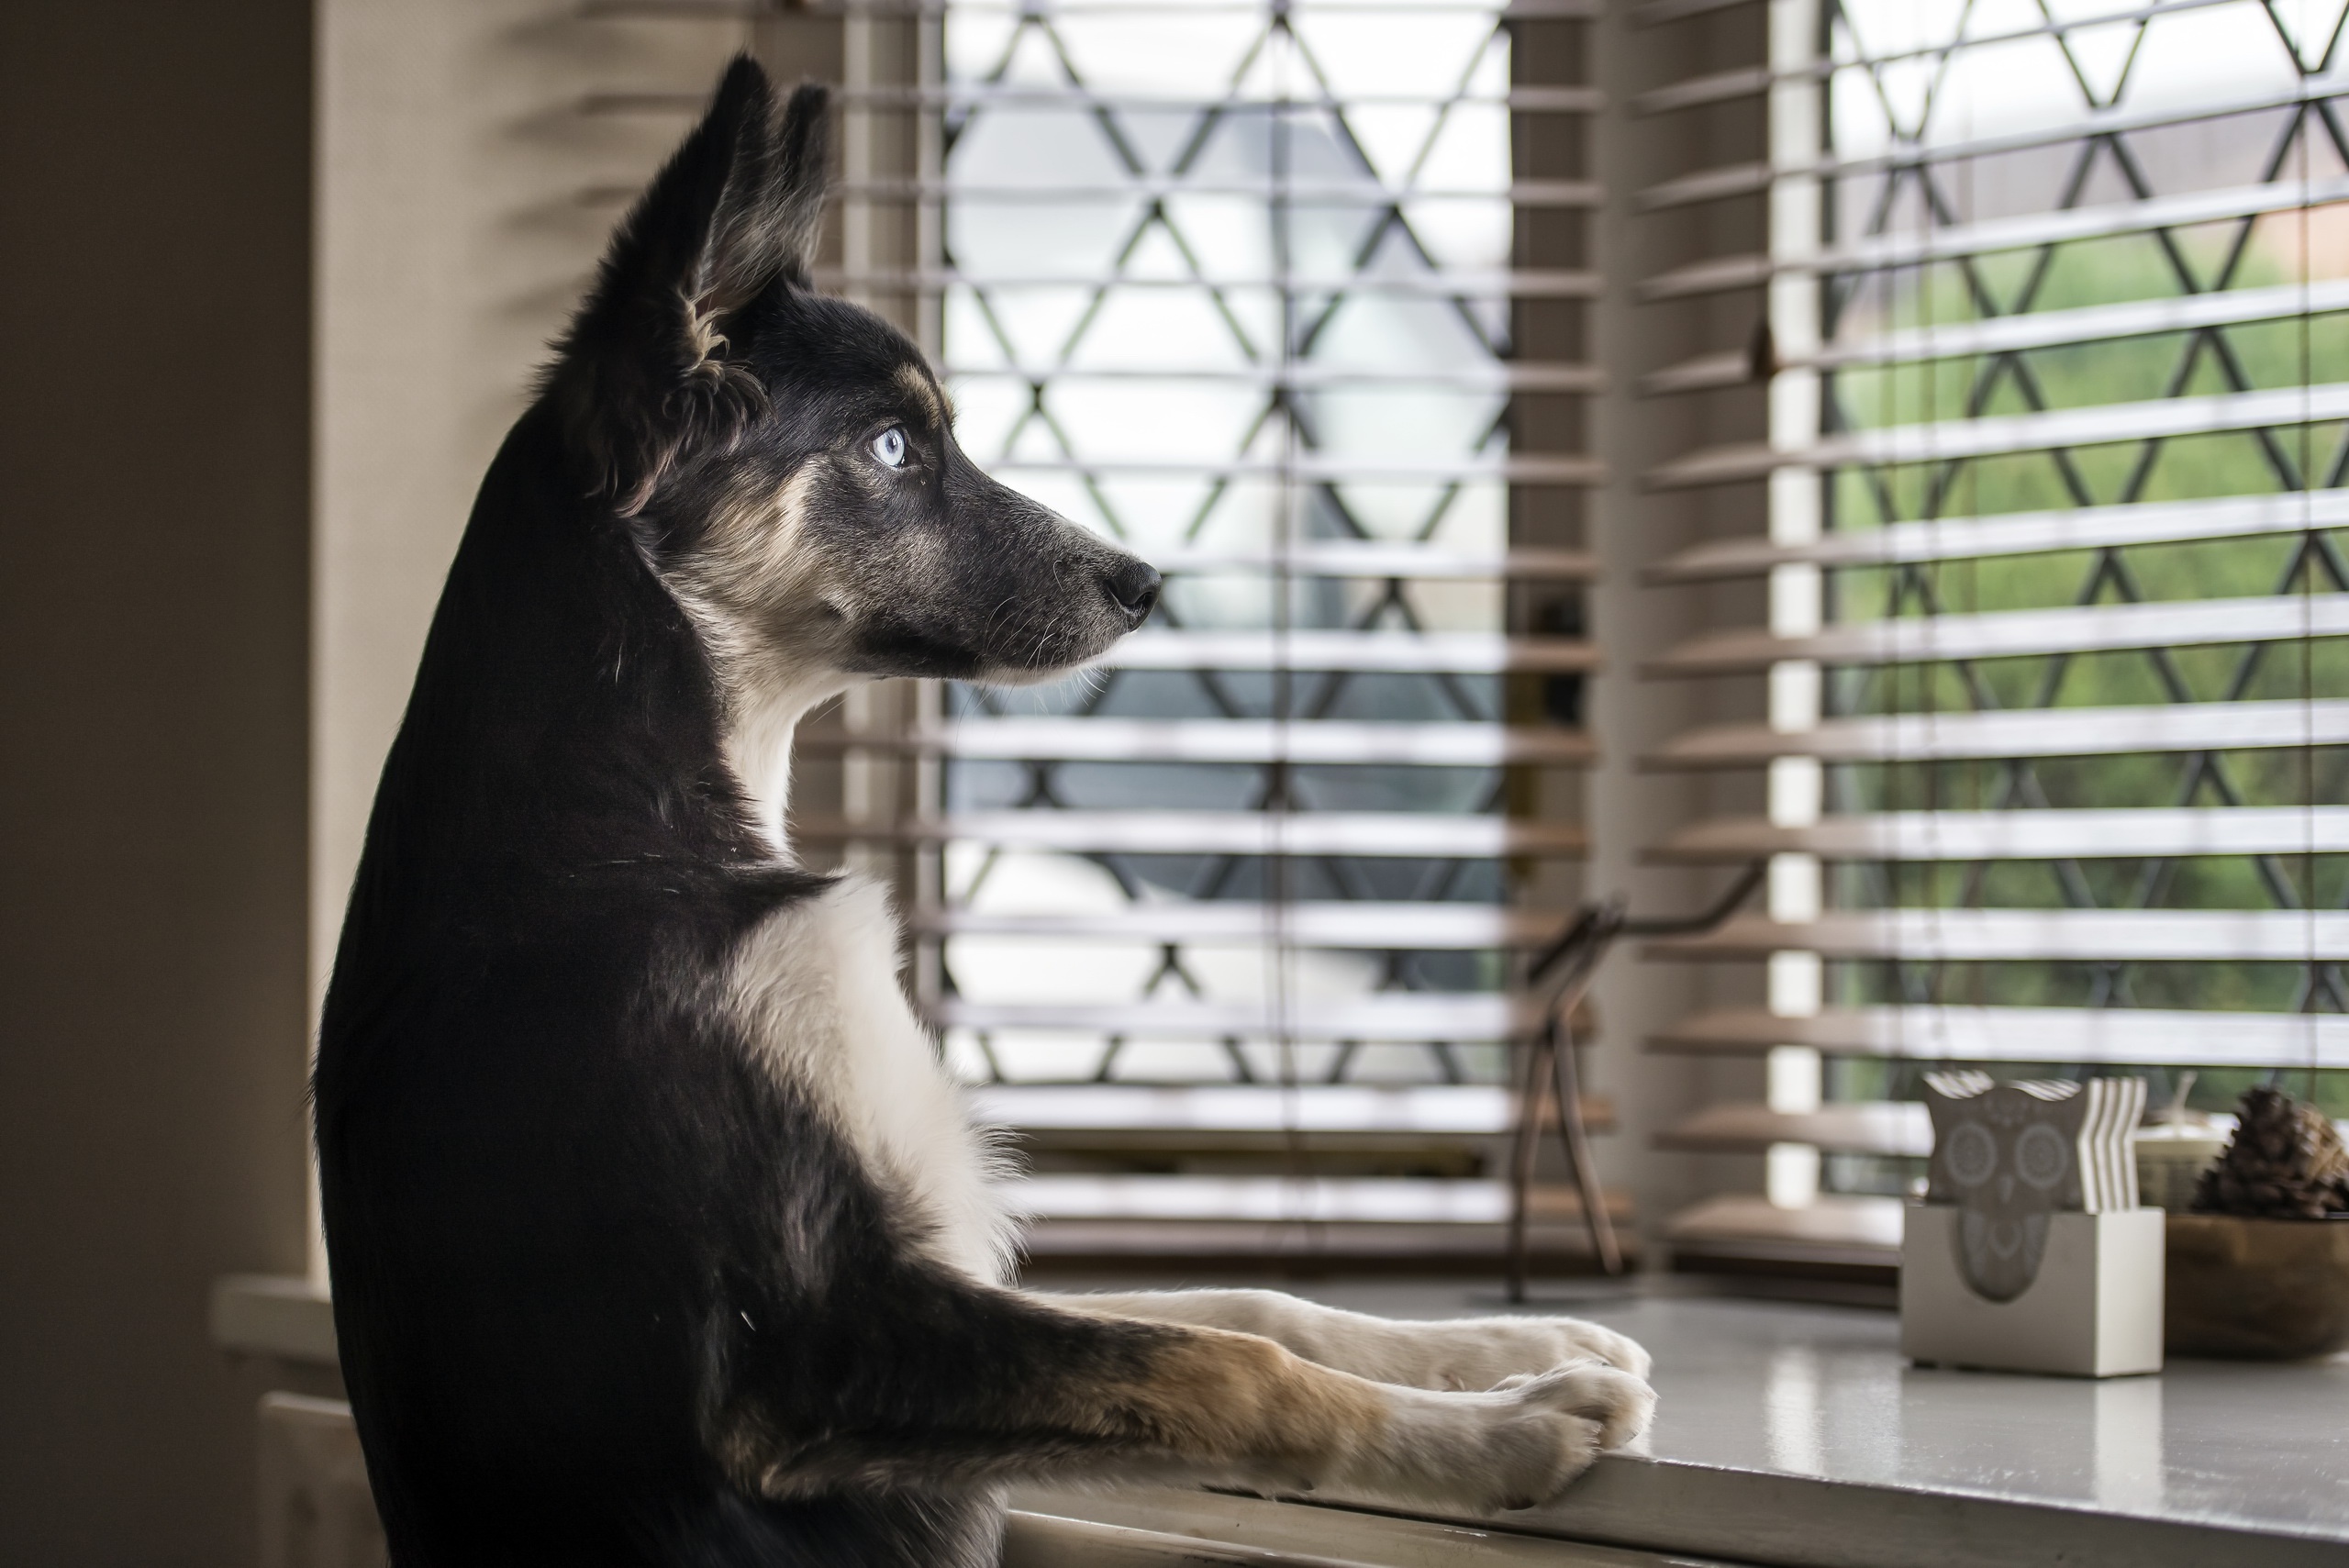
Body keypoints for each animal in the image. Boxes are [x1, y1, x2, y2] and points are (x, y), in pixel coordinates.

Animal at [317, 58, 1653, 1568]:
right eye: (896, 445)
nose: (1143, 583)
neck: (628, 817)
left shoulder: (938, 1264)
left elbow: (1242, 1305)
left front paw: (1509, 1344)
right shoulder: (812, 1343)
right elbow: (1230, 1365)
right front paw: (1509, 1428)